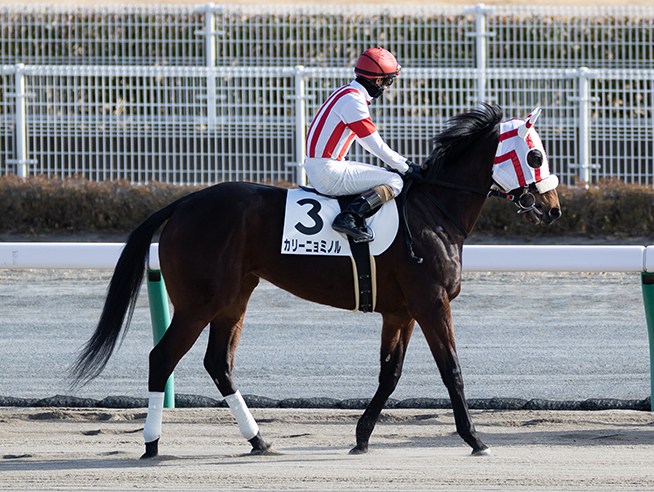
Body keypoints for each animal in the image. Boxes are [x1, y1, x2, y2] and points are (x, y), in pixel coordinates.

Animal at [71, 104, 561, 459]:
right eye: (535, 155)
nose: (553, 207)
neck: (434, 213)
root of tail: (182, 203)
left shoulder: (400, 312)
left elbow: (390, 374)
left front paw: (361, 436)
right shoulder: (431, 303)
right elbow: (452, 371)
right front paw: (475, 438)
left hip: (234, 297)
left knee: (219, 363)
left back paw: (258, 440)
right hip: (199, 302)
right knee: (162, 358)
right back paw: (152, 444)